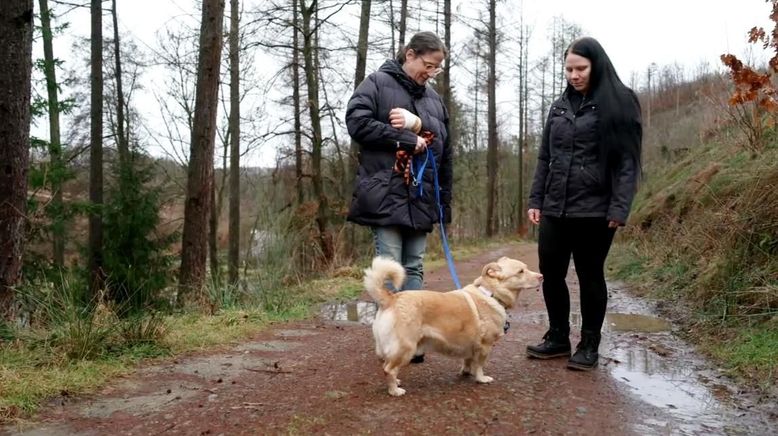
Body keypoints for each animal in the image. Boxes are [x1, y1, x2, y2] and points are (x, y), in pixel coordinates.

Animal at [362, 255, 540, 396]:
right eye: (521, 271)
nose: (541, 276)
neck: (491, 294)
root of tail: (391, 299)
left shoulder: (471, 344)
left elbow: (468, 361)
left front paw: (466, 372)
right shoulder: (485, 346)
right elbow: (480, 365)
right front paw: (481, 378)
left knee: (387, 366)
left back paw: (396, 382)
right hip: (406, 347)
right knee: (388, 369)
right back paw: (394, 391)